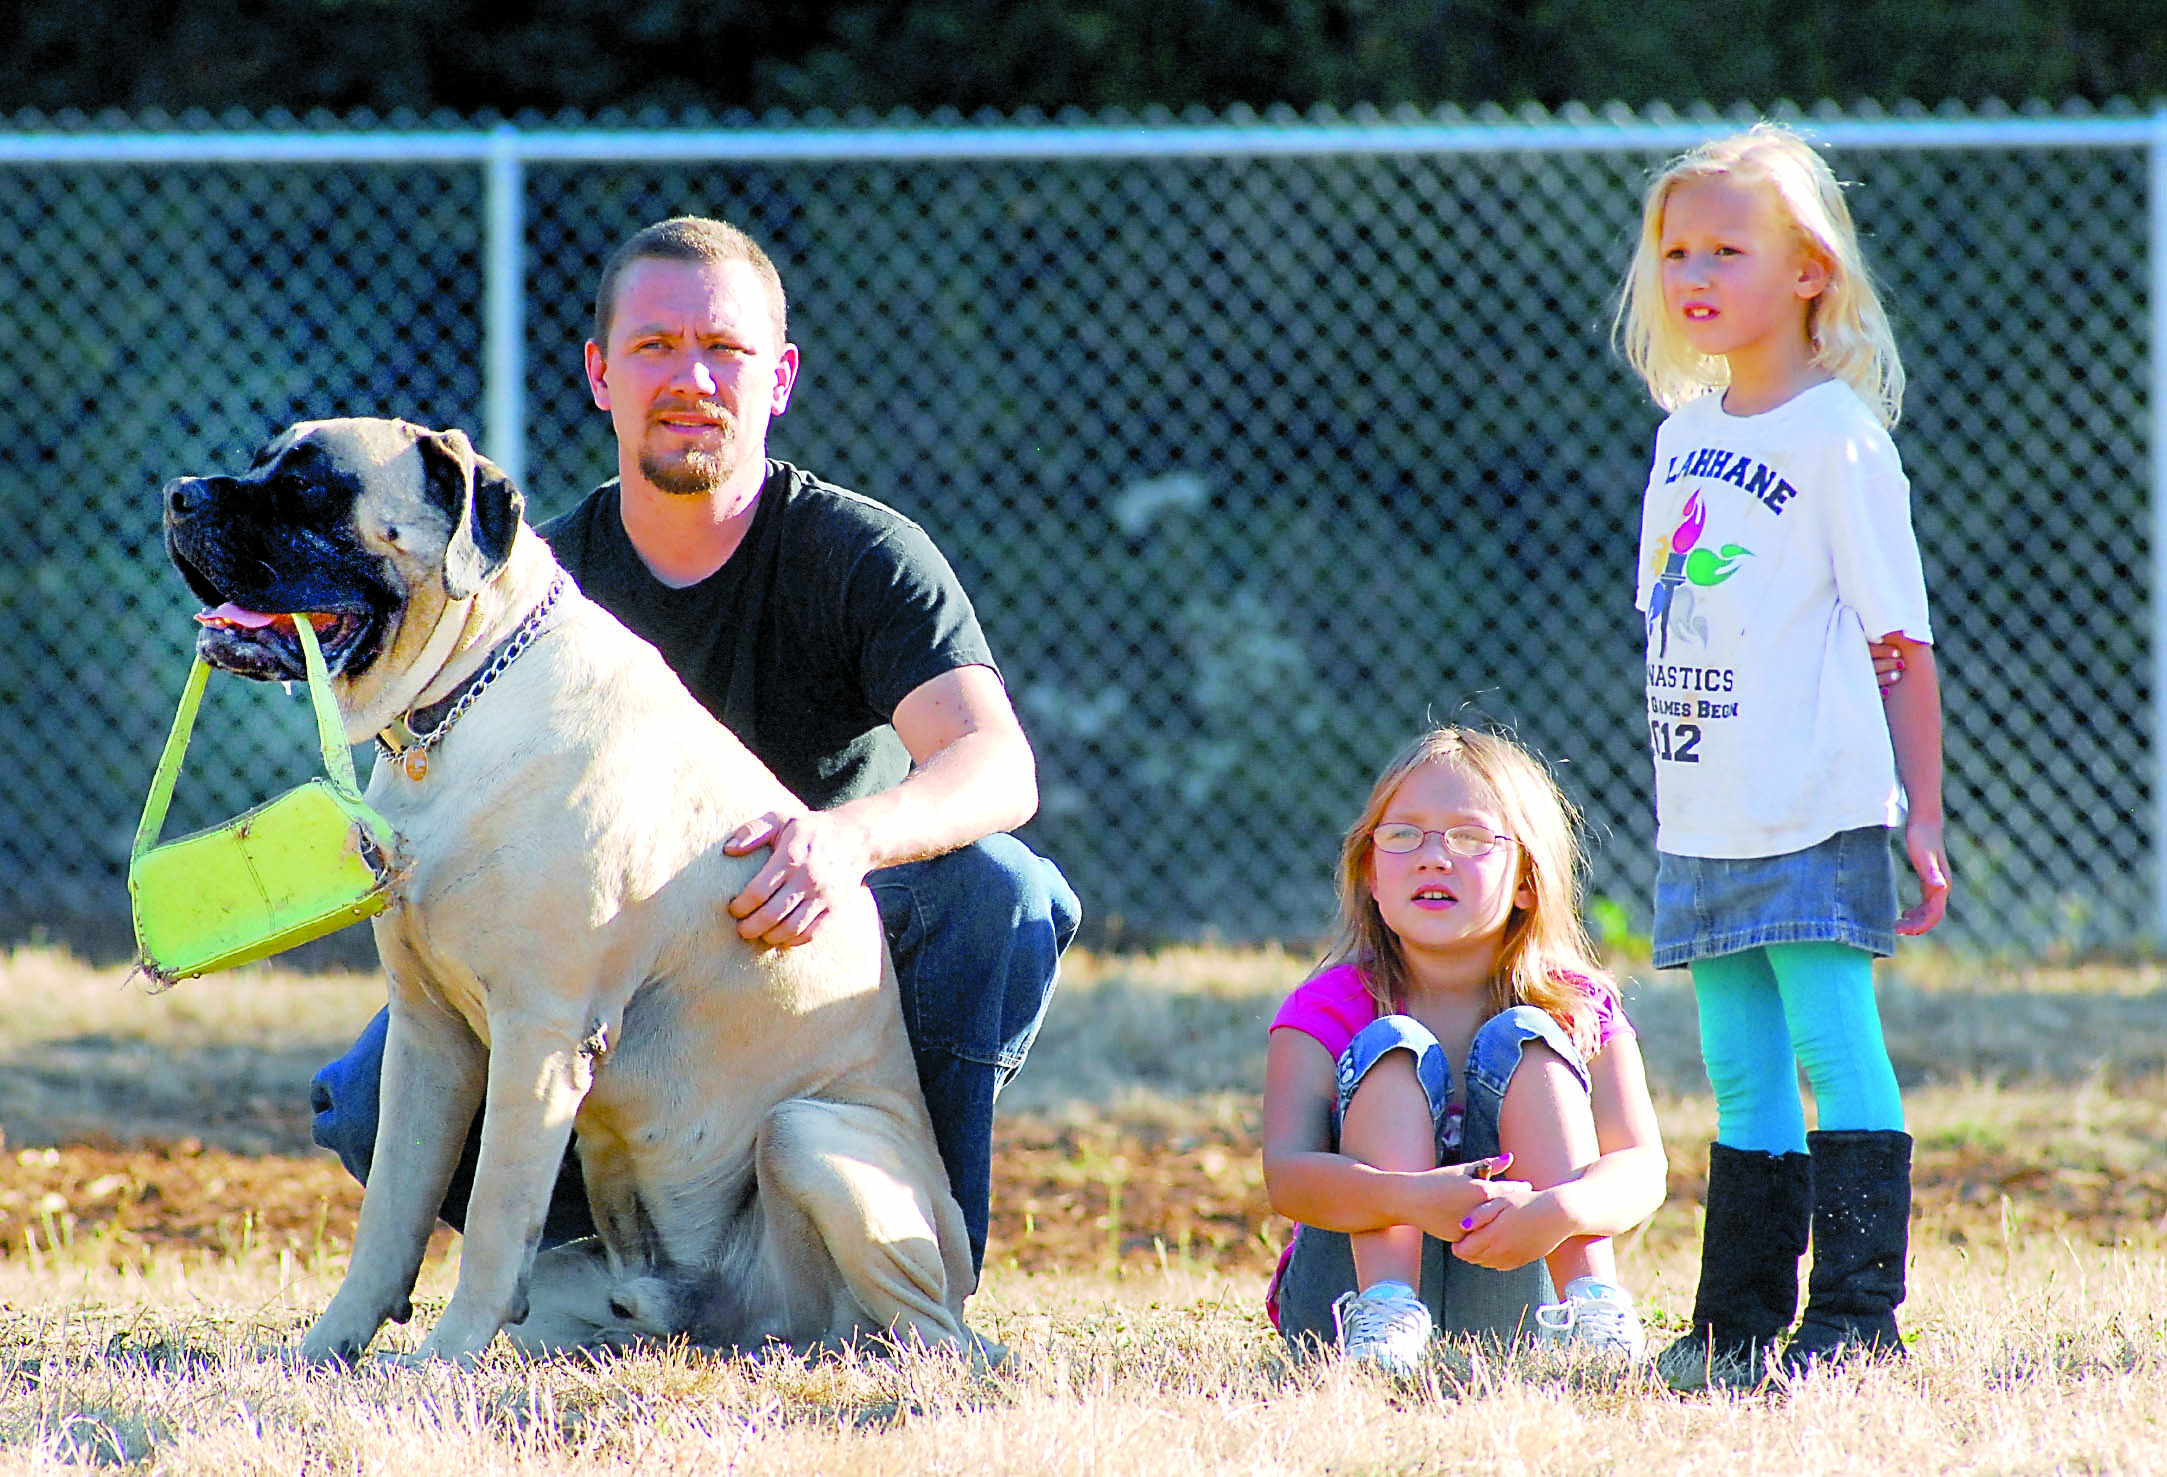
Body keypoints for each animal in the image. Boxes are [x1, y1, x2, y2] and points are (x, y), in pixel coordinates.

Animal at [166, 413, 975, 1360]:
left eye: (308, 484)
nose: (179, 493)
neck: (459, 702)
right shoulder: (428, 1033)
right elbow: (391, 1213)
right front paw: (327, 1349)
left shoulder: (540, 1031)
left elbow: (492, 1212)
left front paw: (444, 1359)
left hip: (811, 1136)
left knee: (926, 1326)